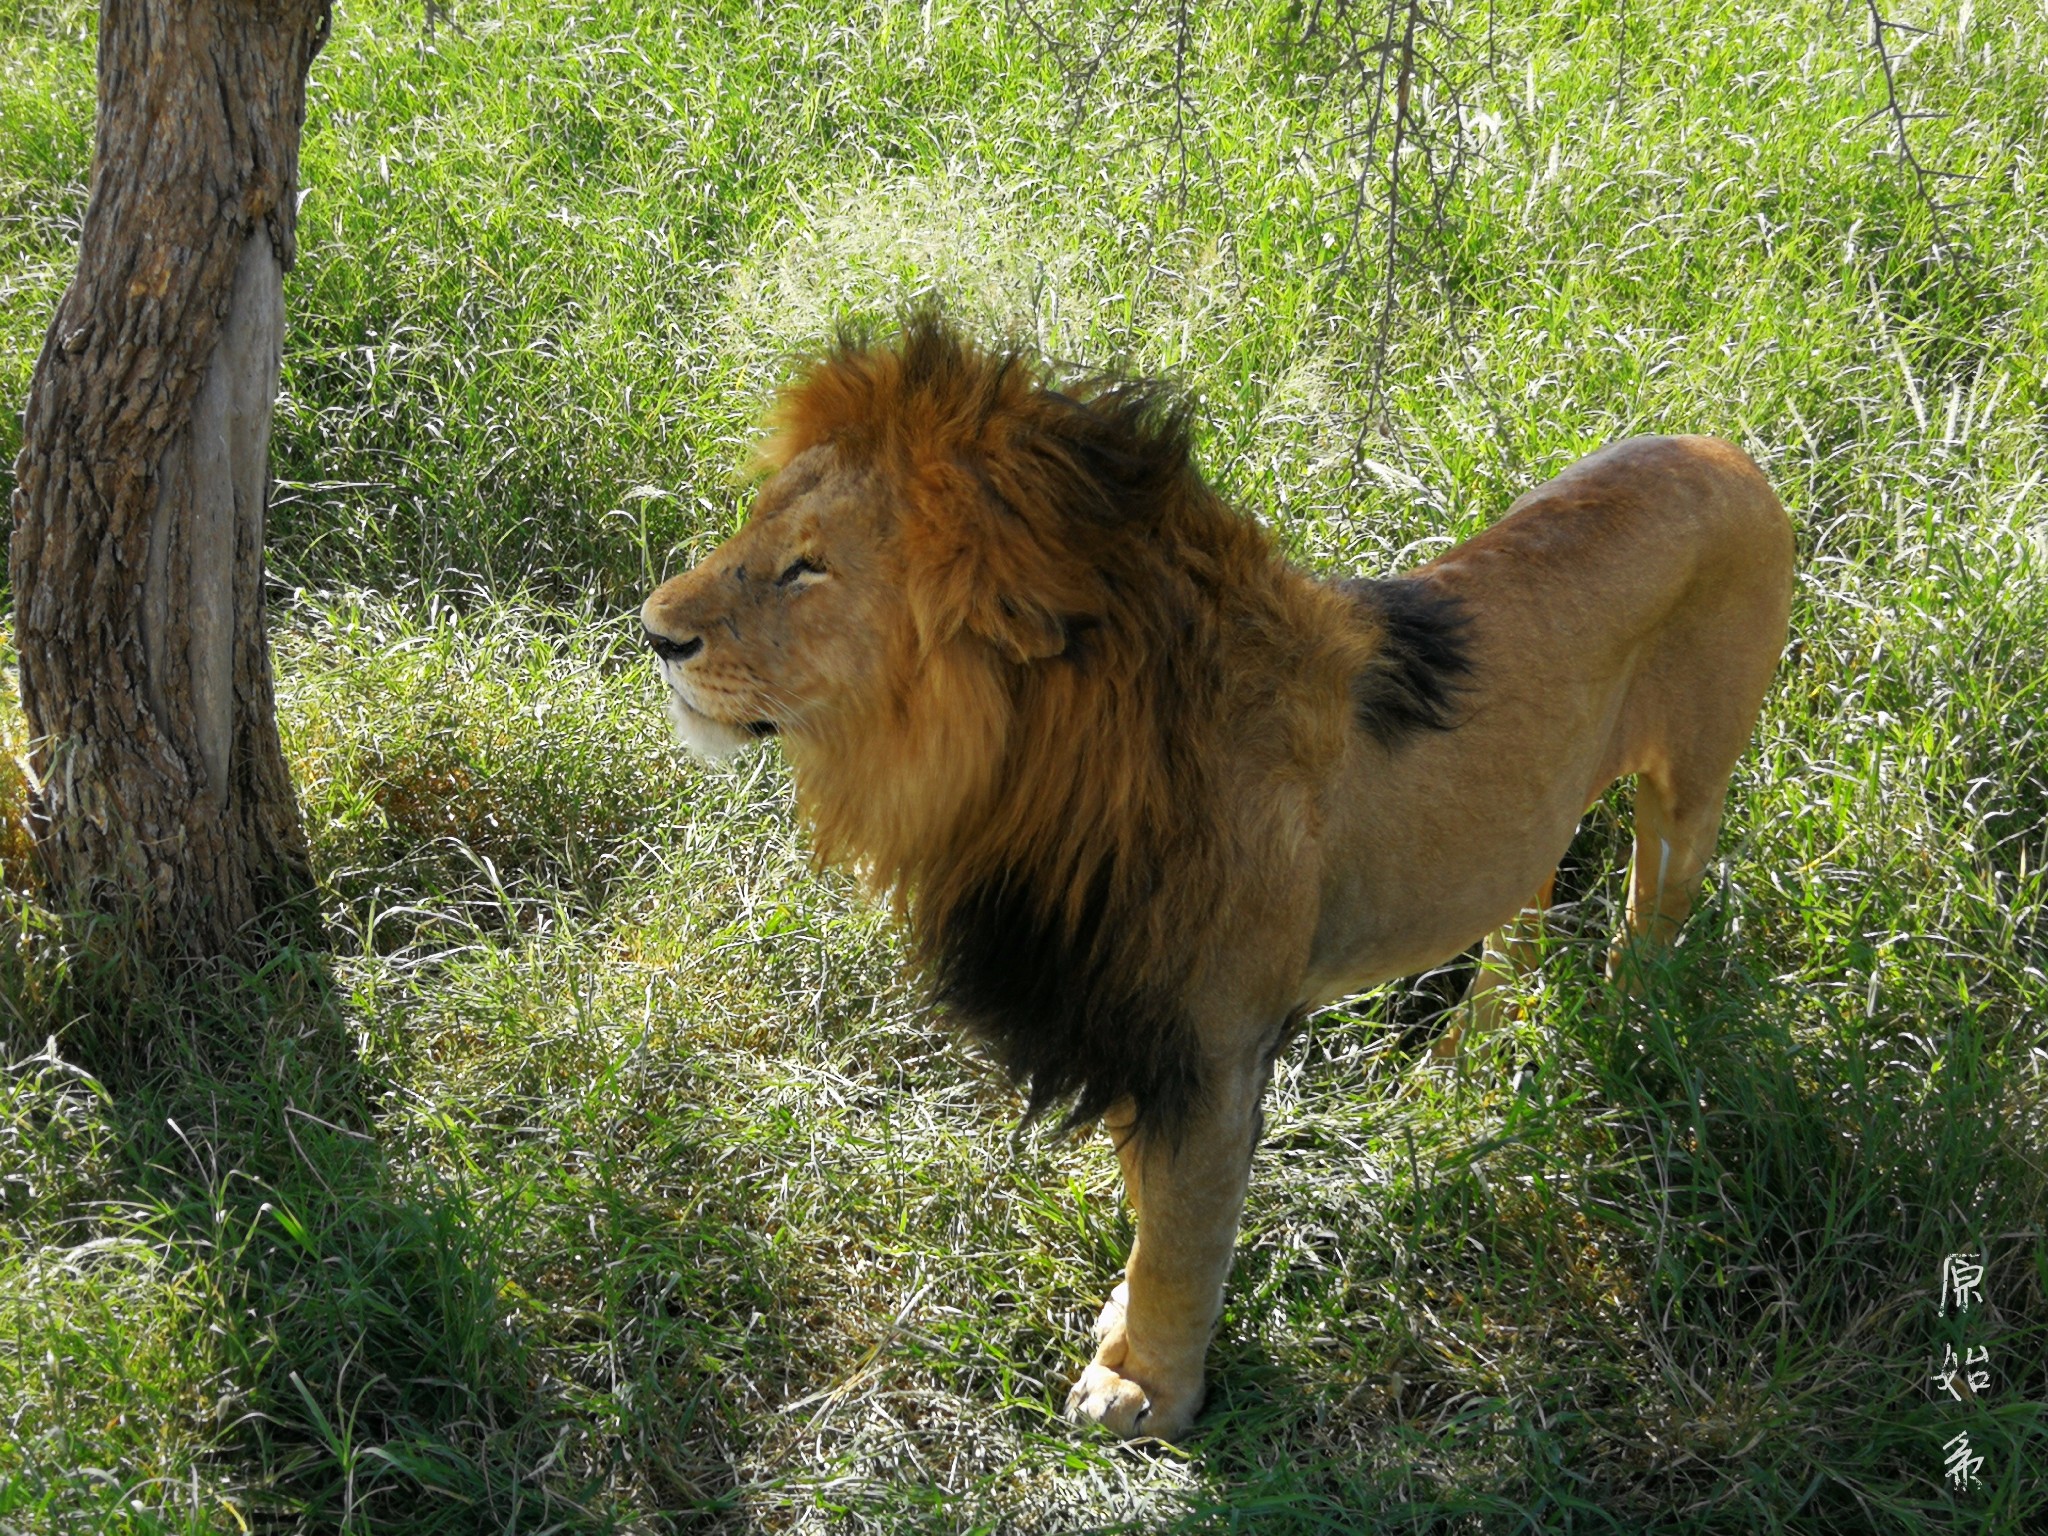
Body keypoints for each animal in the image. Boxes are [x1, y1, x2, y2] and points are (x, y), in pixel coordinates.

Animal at [638, 319, 1794, 1449]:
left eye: (807, 569)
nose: (654, 632)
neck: (1026, 779)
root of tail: (1726, 453)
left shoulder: (1211, 1047)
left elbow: (1186, 1233)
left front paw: (1145, 1389)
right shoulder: (1132, 1023)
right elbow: (1150, 1200)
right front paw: (1122, 1323)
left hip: (1690, 790)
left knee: (1649, 919)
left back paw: (1624, 1033)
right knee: (1528, 899)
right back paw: (1463, 1066)